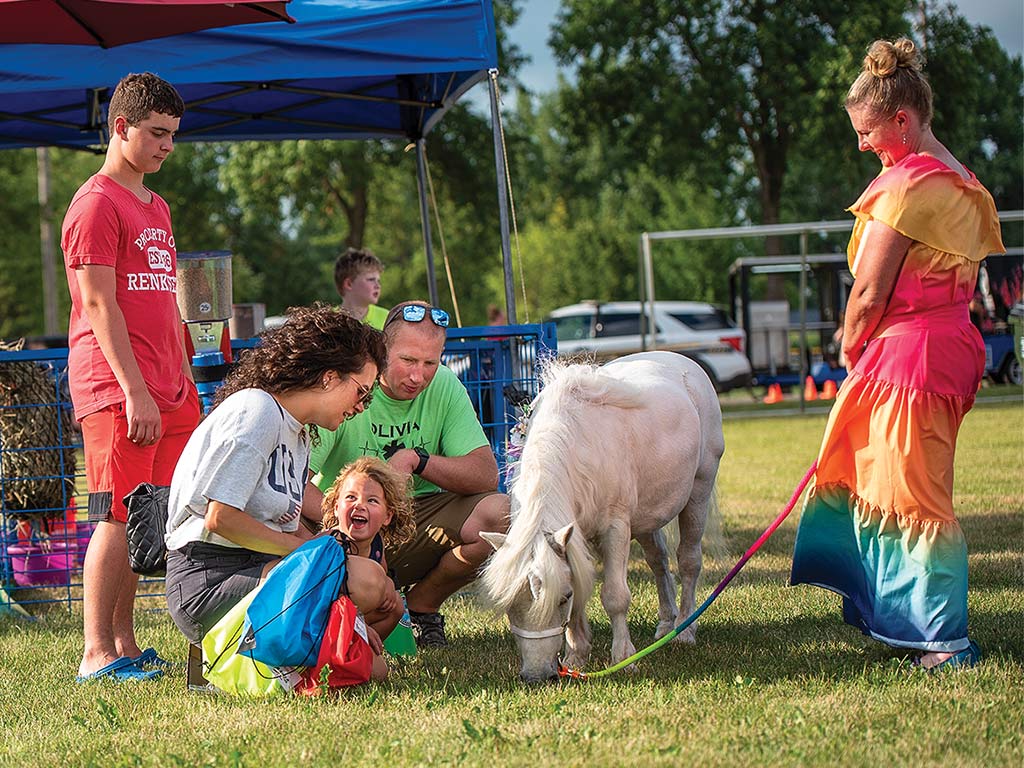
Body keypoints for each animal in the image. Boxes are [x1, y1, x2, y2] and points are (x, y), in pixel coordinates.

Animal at [477, 352, 720, 684]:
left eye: (562, 598)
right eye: (510, 604)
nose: (537, 676)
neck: (575, 445)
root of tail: (684, 361)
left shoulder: (615, 528)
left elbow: (615, 596)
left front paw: (624, 657)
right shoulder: (575, 538)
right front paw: (576, 655)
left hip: (698, 492)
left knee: (688, 561)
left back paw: (684, 629)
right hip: (646, 518)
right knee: (659, 562)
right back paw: (666, 625)